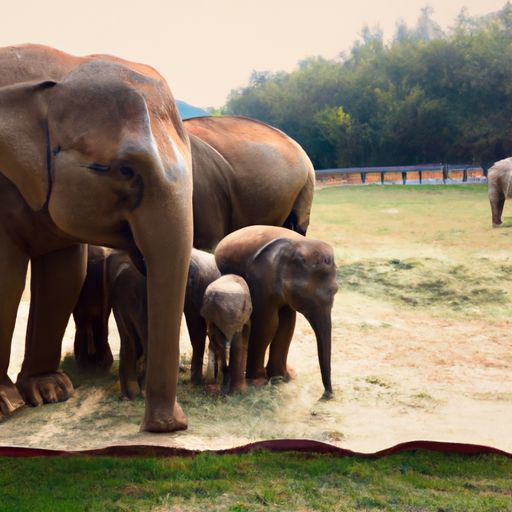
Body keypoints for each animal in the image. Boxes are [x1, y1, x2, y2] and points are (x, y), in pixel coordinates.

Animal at [0, 43, 192, 432]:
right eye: (125, 170)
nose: (170, 426)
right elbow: (4, 280)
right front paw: (5, 404)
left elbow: (64, 276)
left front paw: (50, 392)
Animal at [214, 225, 338, 400]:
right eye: (304, 295)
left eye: (335, 291)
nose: (327, 394)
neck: (296, 246)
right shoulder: (261, 280)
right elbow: (268, 323)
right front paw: (258, 382)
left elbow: (287, 324)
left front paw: (281, 378)